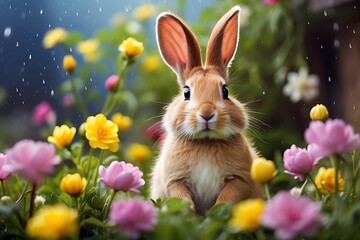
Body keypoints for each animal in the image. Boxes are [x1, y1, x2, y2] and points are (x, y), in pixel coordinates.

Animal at [150, 5, 262, 216]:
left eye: (225, 91)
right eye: (186, 92)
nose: (207, 113)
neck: (206, 142)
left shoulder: (239, 179)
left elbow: (228, 197)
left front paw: (215, 212)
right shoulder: (174, 180)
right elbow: (180, 196)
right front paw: (189, 212)